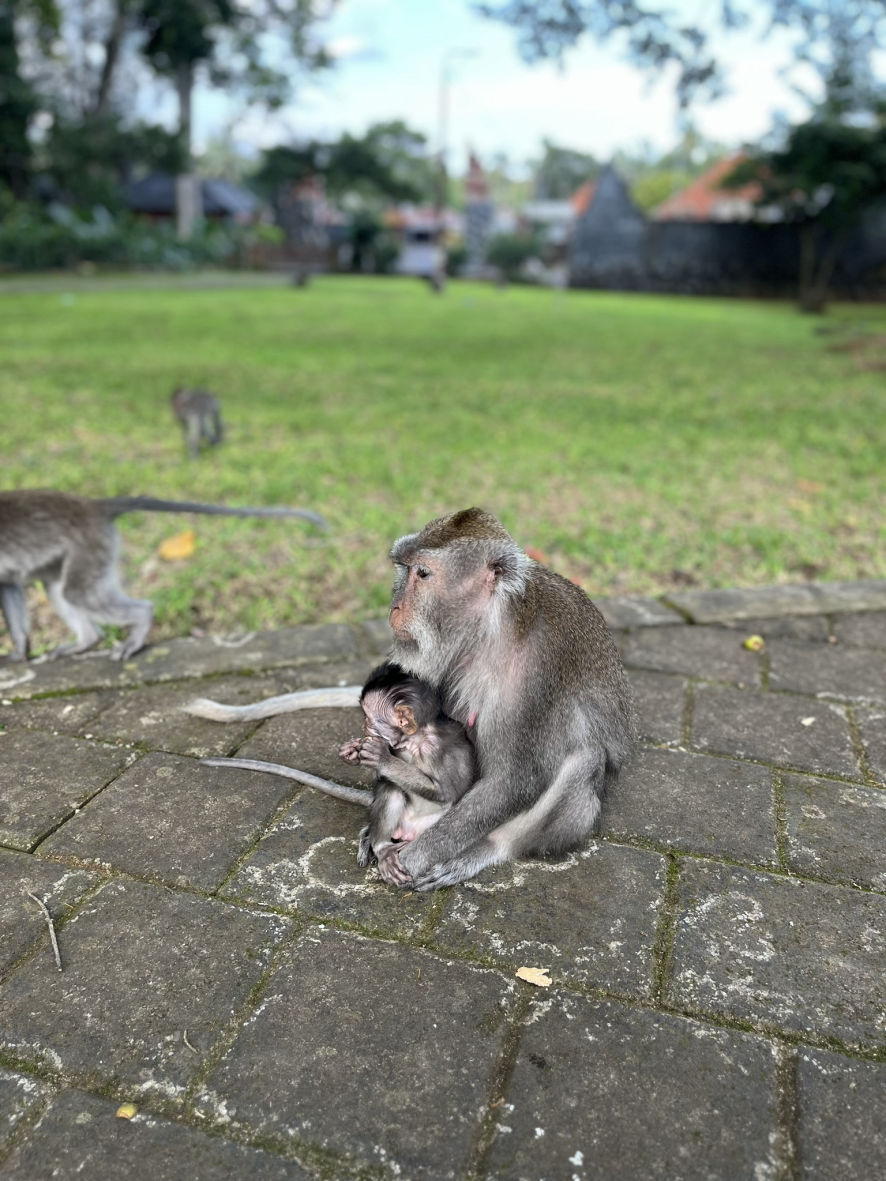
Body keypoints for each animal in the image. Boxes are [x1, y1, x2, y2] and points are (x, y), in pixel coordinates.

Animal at [0, 490, 326, 663]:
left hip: (89, 546)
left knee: (77, 592)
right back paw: (87, 640)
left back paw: (138, 627)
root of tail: (91, 505)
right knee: (59, 589)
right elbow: (8, 586)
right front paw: (19, 654)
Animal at [199, 662, 477, 886]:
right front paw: (352, 752)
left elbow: (446, 791)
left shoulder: (439, 750)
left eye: (369, 718)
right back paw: (381, 847)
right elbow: (385, 778)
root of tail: (407, 832)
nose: (363, 725)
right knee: (392, 790)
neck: (415, 739)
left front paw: (381, 757)